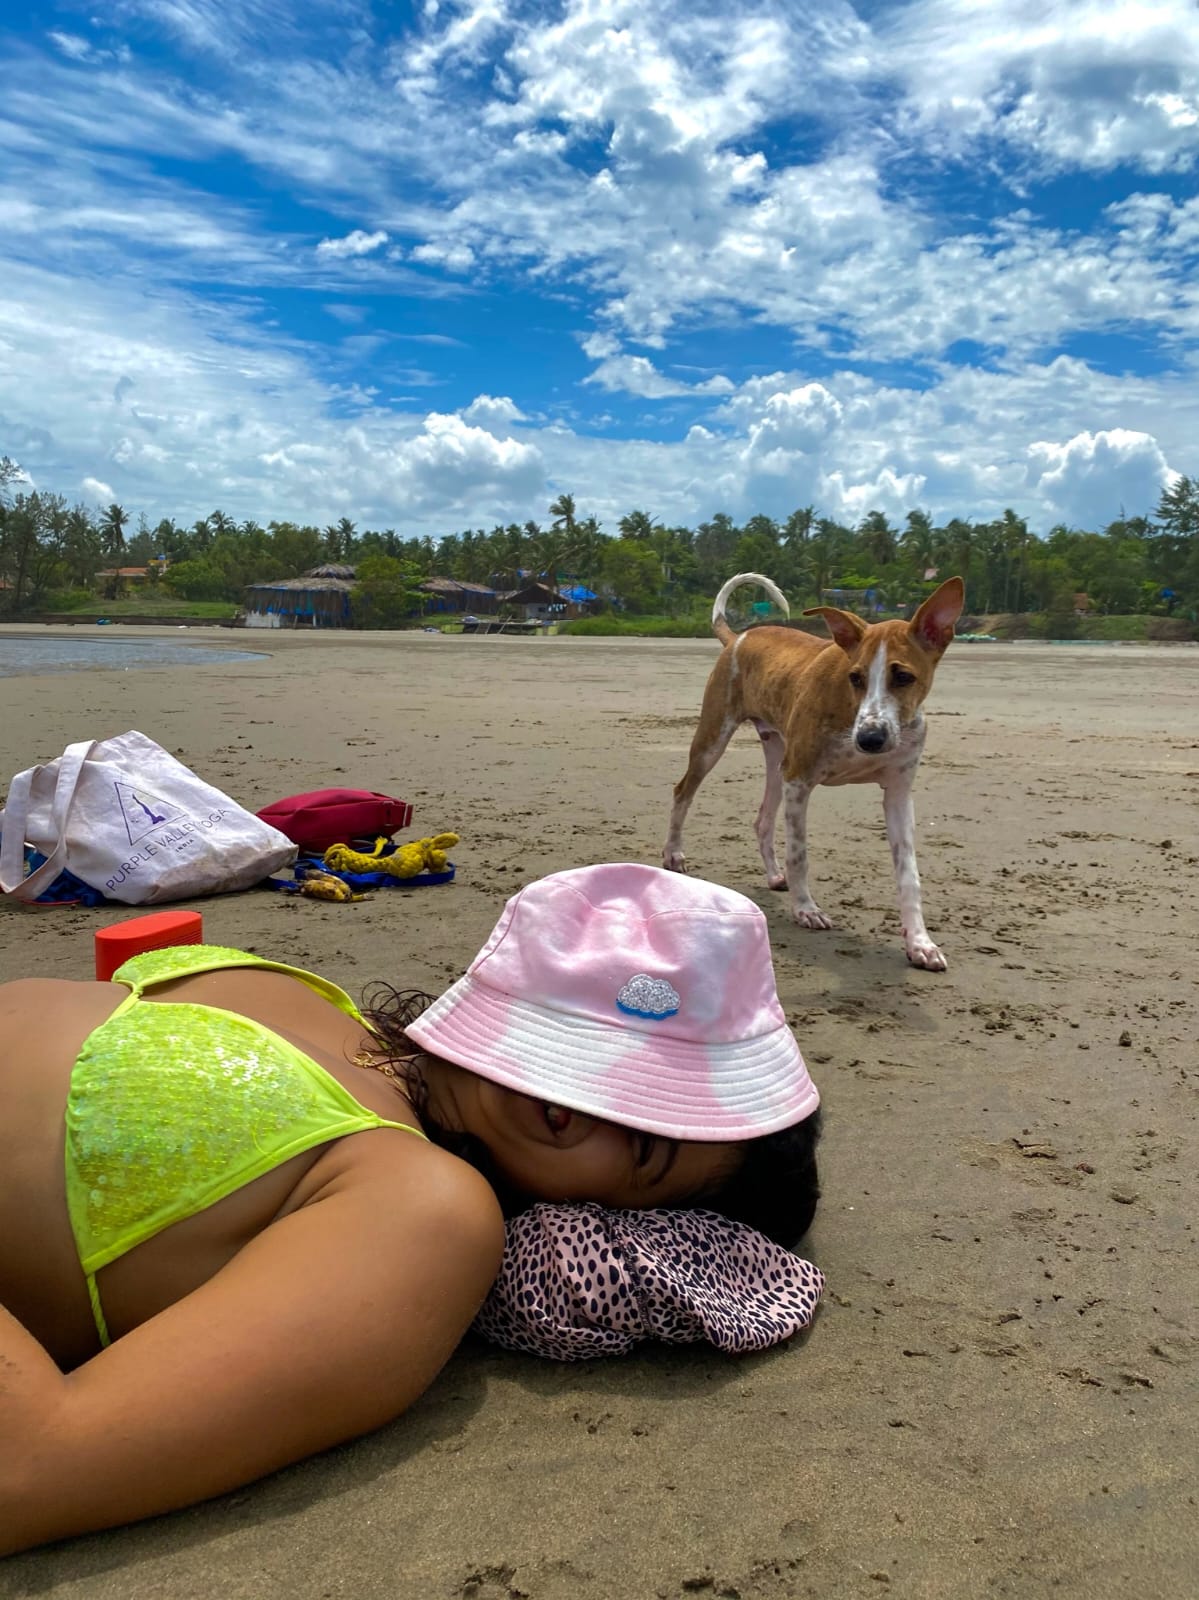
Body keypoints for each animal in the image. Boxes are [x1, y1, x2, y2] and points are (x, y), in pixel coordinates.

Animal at [662, 576, 960, 972]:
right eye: (856, 677)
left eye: (903, 676)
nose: (870, 739)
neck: (850, 709)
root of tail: (738, 637)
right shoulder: (799, 780)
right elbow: (800, 853)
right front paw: (806, 909)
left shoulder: (898, 794)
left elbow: (909, 875)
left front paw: (920, 942)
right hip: (715, 740)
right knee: (682, 792)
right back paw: (673, 855)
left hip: (777, 758)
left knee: (762, 820)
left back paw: (774, 875)